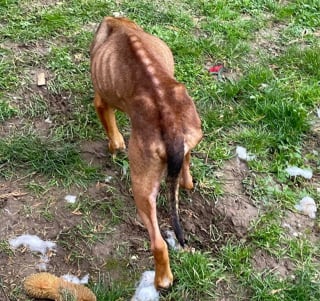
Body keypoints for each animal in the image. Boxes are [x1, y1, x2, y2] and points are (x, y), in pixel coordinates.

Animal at [89, 17, 202, 288]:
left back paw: (162, 280)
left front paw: (114, 146)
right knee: (186, 170)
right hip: (191, 137)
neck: (119, 26)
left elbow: (112, 133)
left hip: (141, 186)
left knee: (158, 243)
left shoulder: (100, 103)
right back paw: (186, 181)